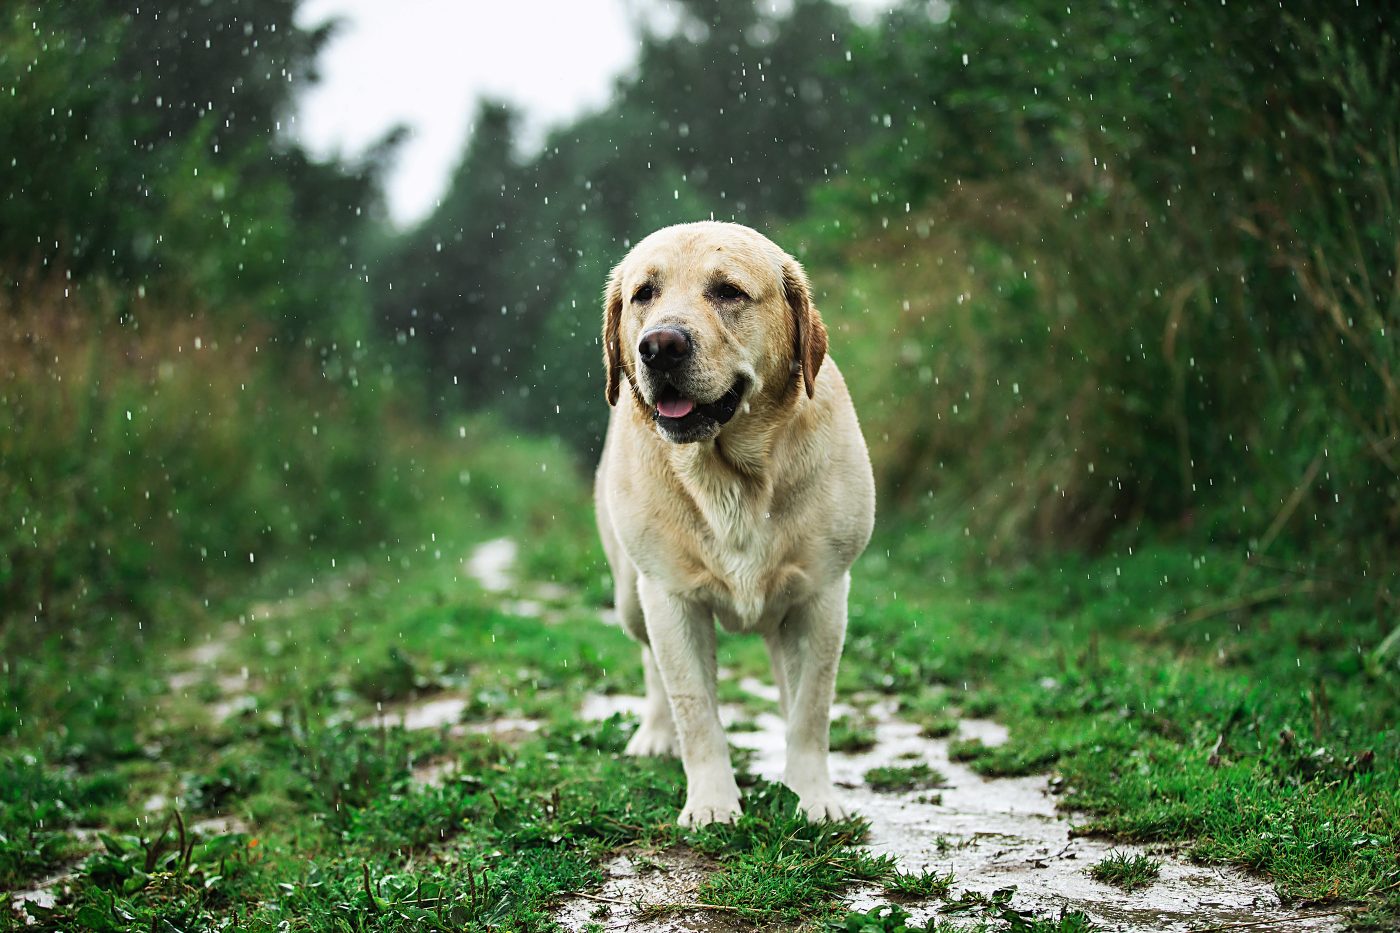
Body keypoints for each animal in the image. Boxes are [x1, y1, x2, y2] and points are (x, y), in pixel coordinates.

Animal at [590, 221, 873, 823]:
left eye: (728, 291)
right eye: (643, 294)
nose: (660, 346)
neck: (735, 477)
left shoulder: (823, 594)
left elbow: (811, 709)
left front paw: (812, 796)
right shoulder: (670, 599)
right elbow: (695, 710)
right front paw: (713, 804)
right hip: (629, 595)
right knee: (651, 664)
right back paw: (654, 735)